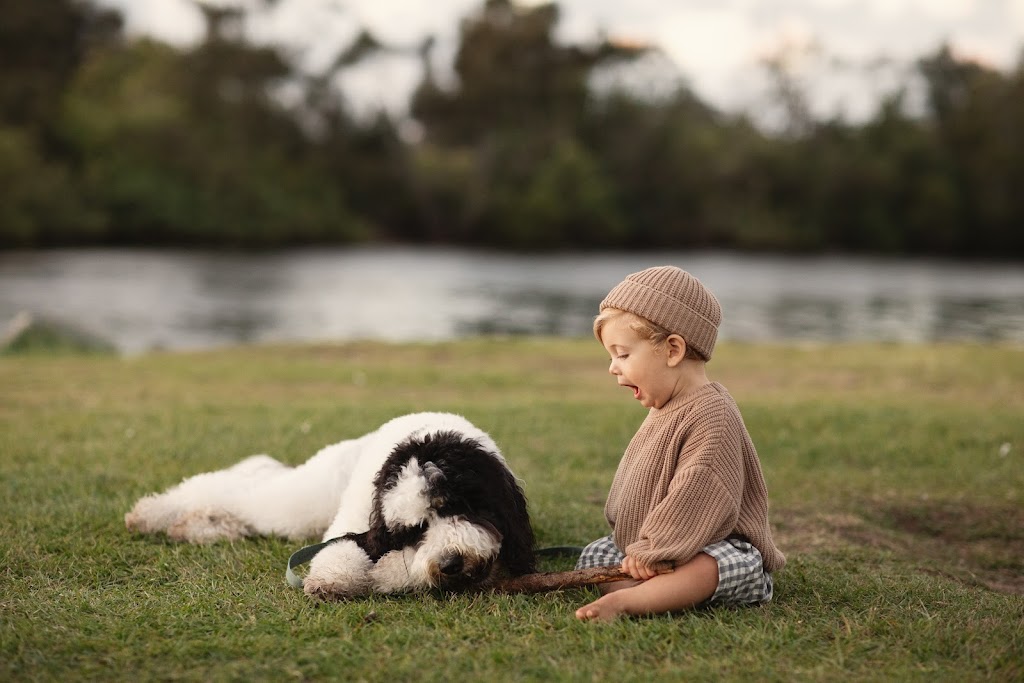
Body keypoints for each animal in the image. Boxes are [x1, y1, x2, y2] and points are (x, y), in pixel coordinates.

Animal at [125, 411, 536, 598]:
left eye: (456, 507)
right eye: (416, 529)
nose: (451, 562)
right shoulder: (360, 521)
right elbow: (339, 549)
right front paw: (332, 578)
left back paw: (200, 527)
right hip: (302, 499)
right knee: (234, 487)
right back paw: (152, 514)